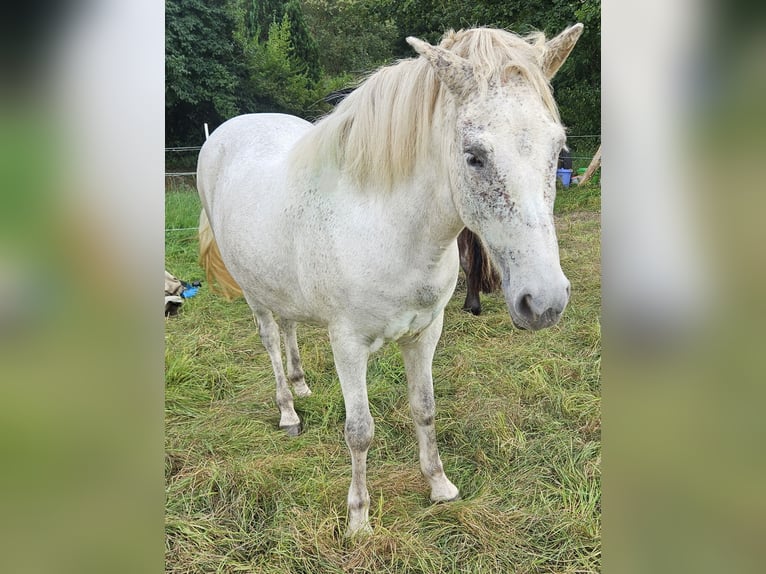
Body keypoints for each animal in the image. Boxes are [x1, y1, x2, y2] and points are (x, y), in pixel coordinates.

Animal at [196, 24, 584, 536]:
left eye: (558, 151)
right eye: (474, 157)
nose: (544, 302)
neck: (390, 229)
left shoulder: (425, 333)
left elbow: (425, 408)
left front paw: (440, 487)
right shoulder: (348, 345)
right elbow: (359, 432)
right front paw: (359, 519)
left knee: (289, 326)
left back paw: (301, 386)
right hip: (254, 294)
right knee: (270, 341)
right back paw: (288, 411)